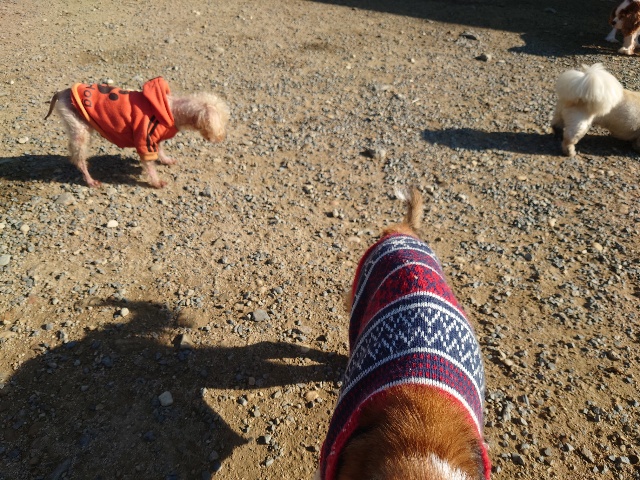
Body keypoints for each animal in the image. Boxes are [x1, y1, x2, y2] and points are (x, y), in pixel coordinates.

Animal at [44, 77, 229, 188]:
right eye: (223, 121)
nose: (222, 137)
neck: (171, 109)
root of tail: (61, 93)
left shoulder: (156, 138)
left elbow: (161, 150)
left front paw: (166, 160)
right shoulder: (144, 138)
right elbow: (149, 165)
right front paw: (157, 182)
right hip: (79, 130)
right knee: (79, 159)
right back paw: (90, 180)